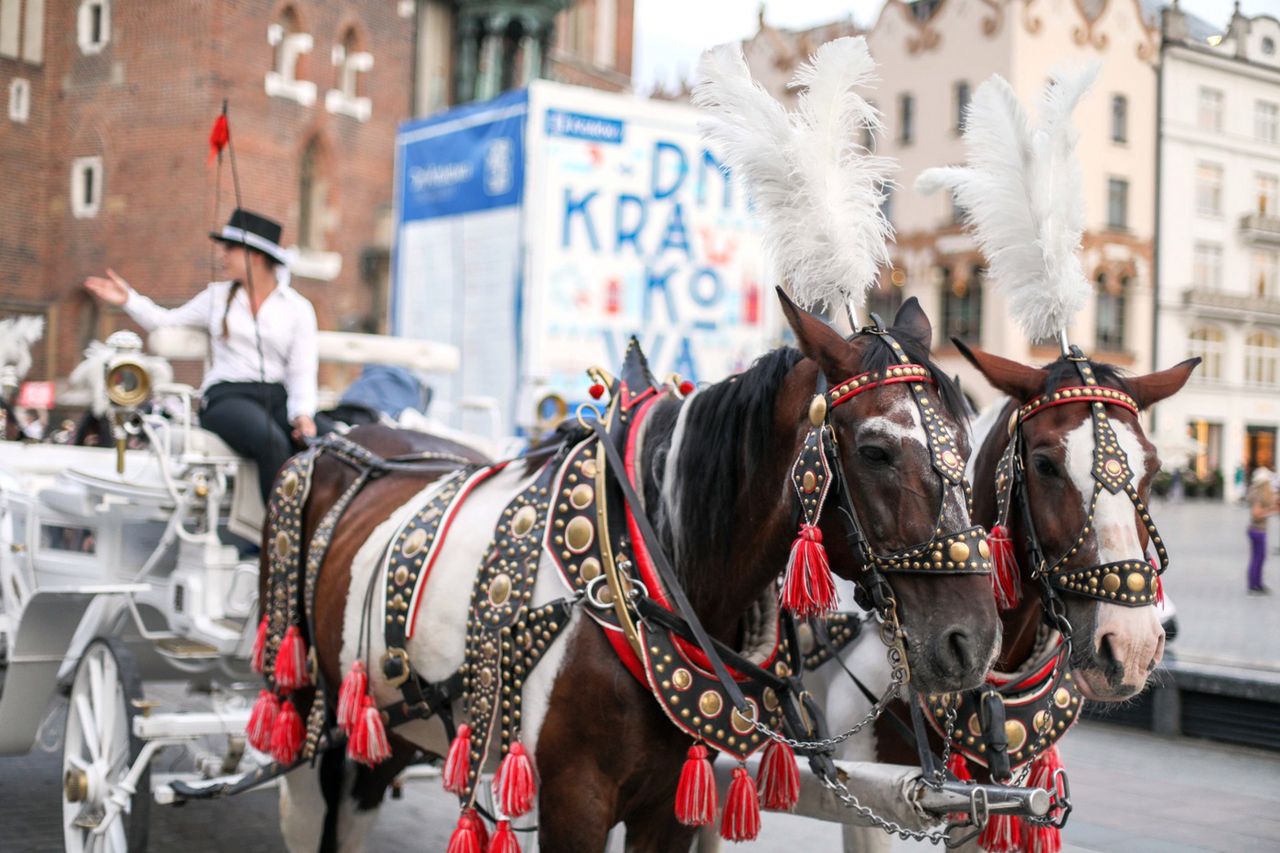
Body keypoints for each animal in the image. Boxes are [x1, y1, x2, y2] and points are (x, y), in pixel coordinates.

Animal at [275, 294, 1003, 850]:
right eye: (876, 449)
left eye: (969, 445)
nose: (970, 641)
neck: (645, 574)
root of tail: (353, 437)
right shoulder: (573, 801)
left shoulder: (667, 803)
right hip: (303, 700)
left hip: (387, 721)